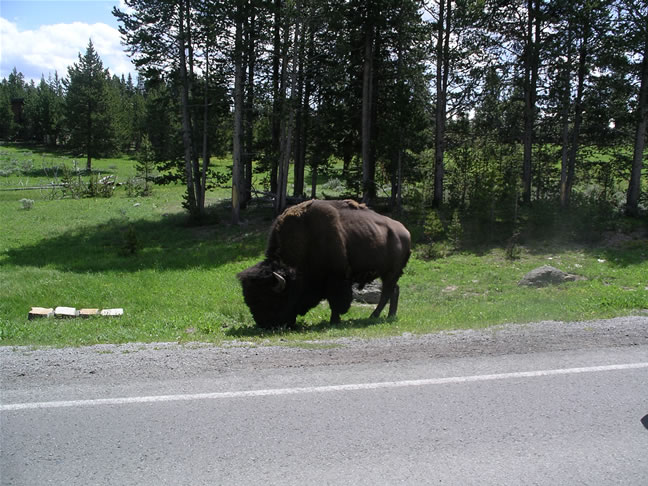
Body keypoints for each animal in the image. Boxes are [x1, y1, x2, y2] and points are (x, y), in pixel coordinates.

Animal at [237, 199, 411, 328]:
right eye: (249, 300)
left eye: (268, 298)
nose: (264, 324)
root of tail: (404, 231)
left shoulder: (336, 278)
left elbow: (336, 301)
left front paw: (334, 321)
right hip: (387, 274)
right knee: (394, 290)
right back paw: (389, 315)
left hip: (390, 273)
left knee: (387, 292)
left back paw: (373, 316)